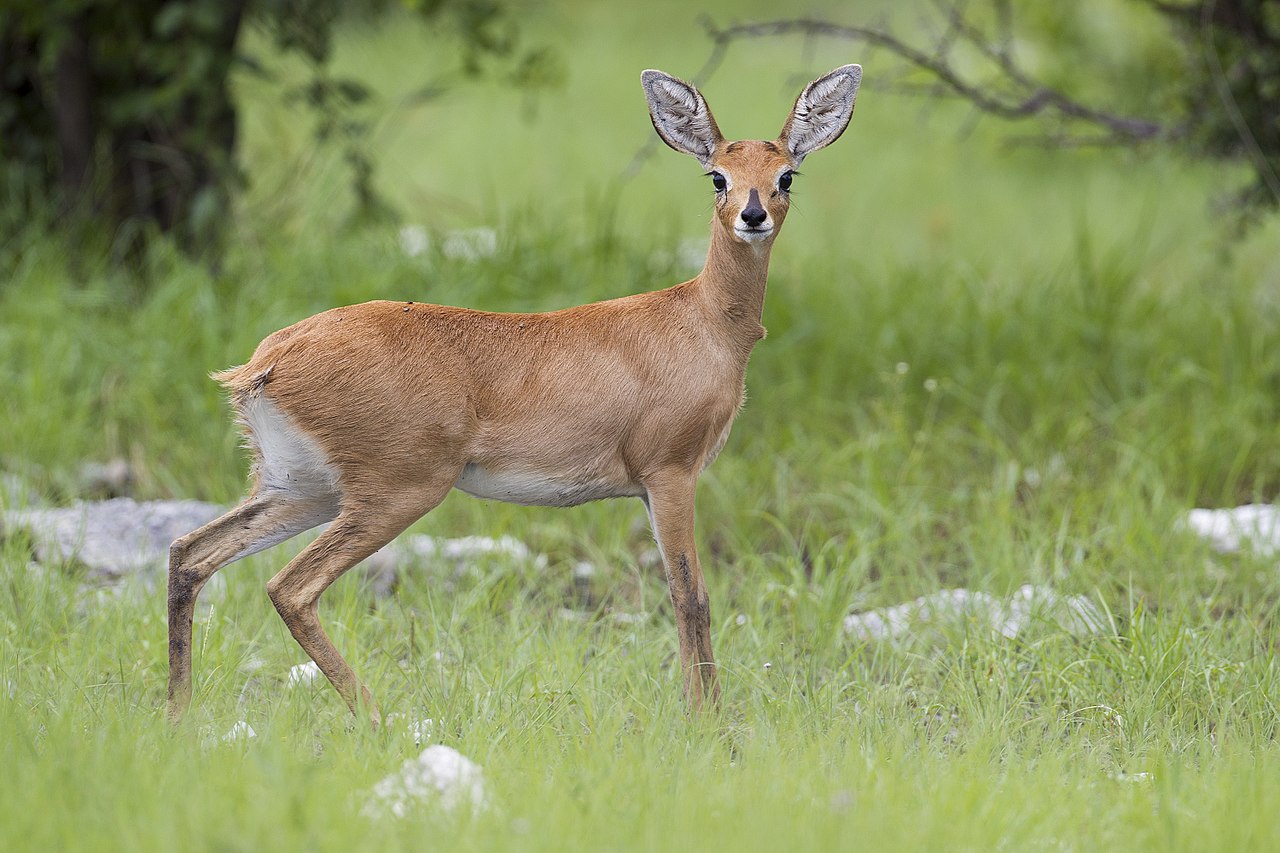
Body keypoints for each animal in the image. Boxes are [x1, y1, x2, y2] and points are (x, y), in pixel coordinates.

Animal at [167, 63, 860, 722]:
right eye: (717, 176)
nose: (753, 214)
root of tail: (265, 361)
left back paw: (177, 716)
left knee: (190, 553)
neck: (705, 319)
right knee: (288, 586)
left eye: (786, 175)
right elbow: (691, 596)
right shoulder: (671, 473)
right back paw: (377, 716)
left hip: (300, 489)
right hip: (395, 493)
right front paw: (709, 724)